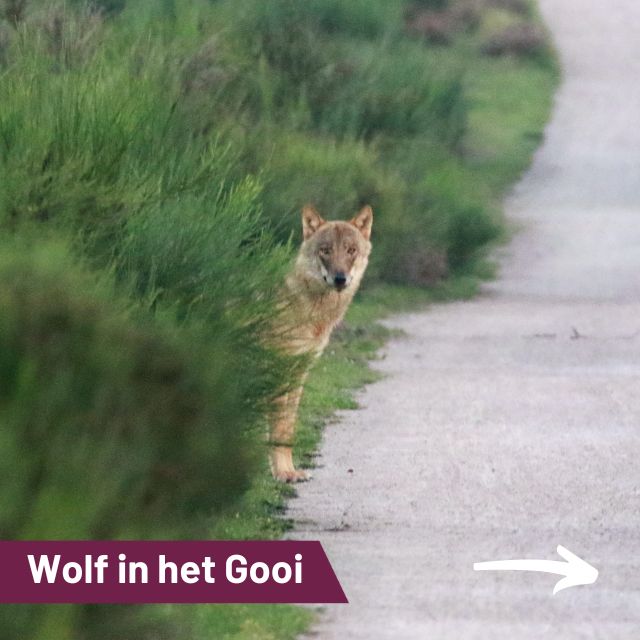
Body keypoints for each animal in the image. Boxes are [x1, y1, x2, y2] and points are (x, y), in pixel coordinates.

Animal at [268, 204, 372, 480]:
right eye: (325, 250)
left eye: (351, 250)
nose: (340, 279)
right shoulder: (279, 370)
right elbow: (279, 427)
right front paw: (283, 474)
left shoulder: (299, 373)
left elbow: (287, 429)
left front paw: (289, 471)